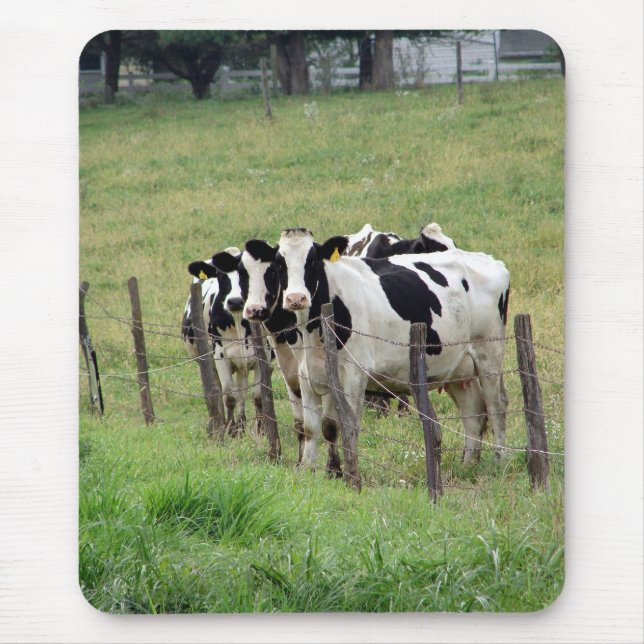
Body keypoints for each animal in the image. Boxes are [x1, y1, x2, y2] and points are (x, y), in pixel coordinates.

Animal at [186, 247, 267, 435]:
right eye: (220, 275)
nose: (235, 301)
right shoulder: (220, 356)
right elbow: (229, 396)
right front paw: (231, 430)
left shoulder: (264, 356)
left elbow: (258, 396)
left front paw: (261, 429)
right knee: (216, 392)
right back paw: (221, 424)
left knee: (242, 392)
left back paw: (242, 424)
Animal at [241, 228, 510, 473]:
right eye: (279, 264)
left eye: (313, 261)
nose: (296, 298)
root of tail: (490, 260)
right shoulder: (307, 375)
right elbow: (312, 427)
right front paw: (308, 469)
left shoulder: (354, 375)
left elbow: (348, 426)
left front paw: (347, 474)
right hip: (457, 368)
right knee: (473, 412)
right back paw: (468, 465)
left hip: (489, 355)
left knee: (496, 406)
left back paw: (500, 461)